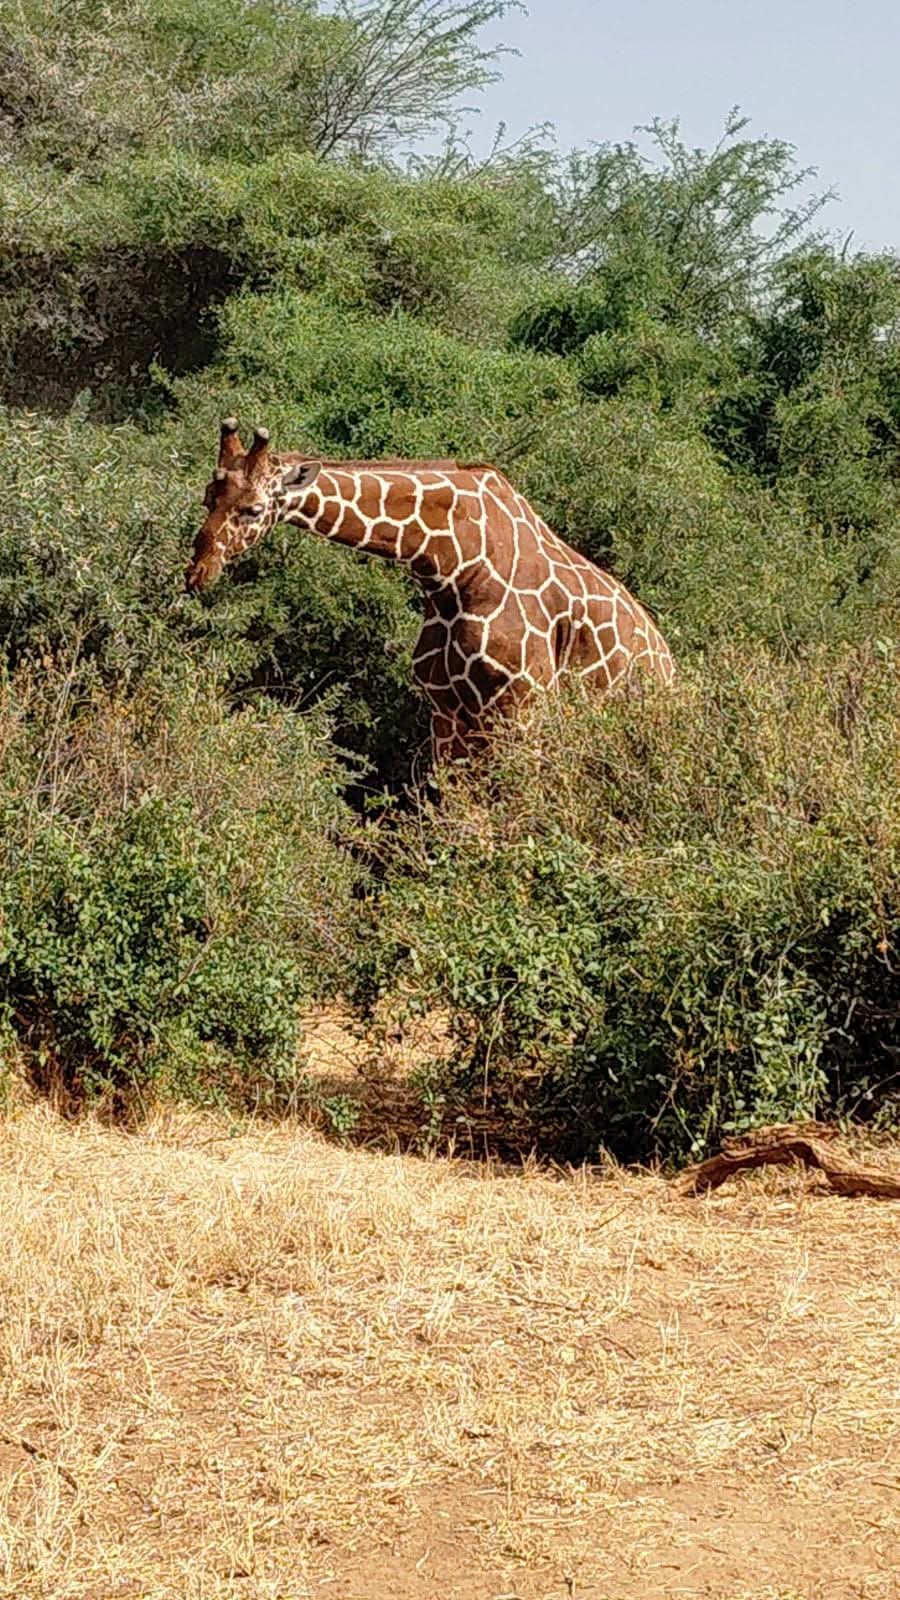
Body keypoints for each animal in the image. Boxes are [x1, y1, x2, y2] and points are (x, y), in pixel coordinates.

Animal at [185, 420, 674, 761]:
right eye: (208, 498)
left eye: (253, 509)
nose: (198, 573)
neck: (454, 567)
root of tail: (670, 666)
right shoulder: (445, 708)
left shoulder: (521, 705)